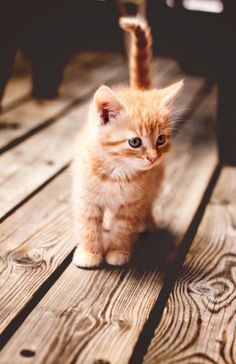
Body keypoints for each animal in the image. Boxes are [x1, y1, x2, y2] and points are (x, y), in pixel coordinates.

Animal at [71, 15, 183, 268]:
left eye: (160, 139)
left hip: (156, 181)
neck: (116, 172)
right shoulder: (86, 197)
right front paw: (89, 252)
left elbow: (124, 228)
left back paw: (146, 222)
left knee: (149, 202)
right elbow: (87, 225)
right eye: (134, 142)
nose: (152, 158)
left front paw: (117, 252)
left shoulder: (133, 203)